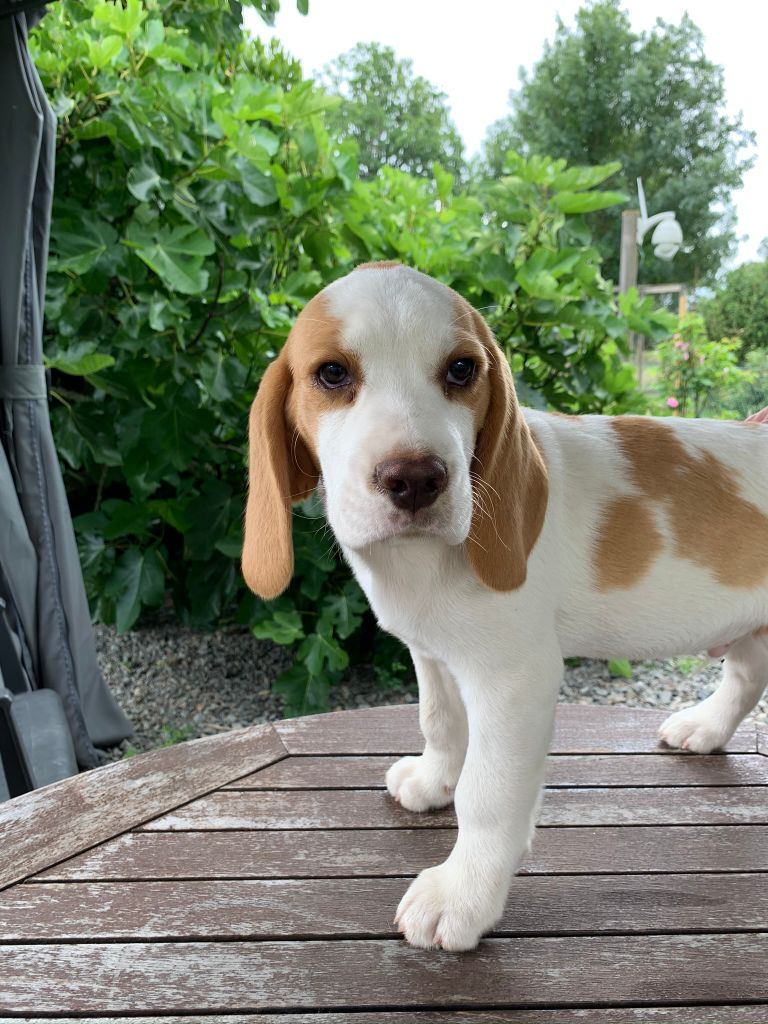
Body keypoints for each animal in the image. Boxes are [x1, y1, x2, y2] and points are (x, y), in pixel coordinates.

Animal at [241, 264, 768, 950]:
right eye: (331, 374)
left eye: (462, 370)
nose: (415, 480)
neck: (420, 565)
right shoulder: (435, 654)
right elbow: (441, 722)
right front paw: (434, 781)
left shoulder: (515, 680)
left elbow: (489, 795)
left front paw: (463, 895)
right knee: (746, 675)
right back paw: (705, 727)